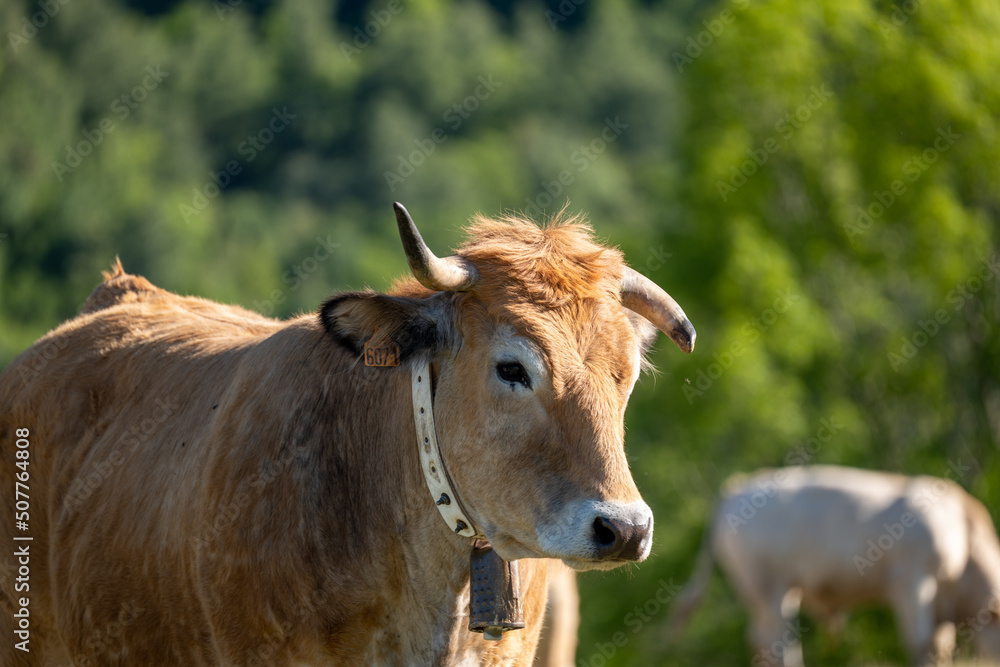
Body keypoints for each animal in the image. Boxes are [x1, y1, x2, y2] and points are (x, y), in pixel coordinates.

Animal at [668, 468, 1000, 667]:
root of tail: (734, 492)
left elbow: (940, 646)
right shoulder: (913, 581)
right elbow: (921, 642)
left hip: (768, 592)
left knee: (760, 639)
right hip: (770, 588)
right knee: (778, 642)